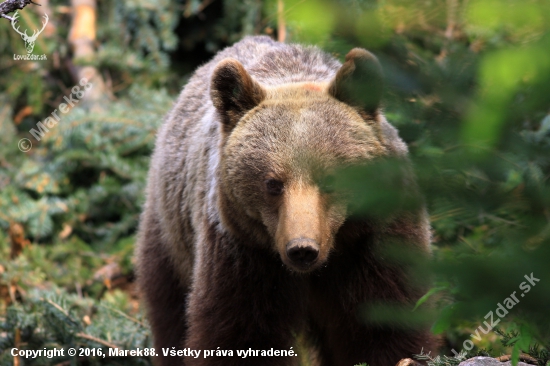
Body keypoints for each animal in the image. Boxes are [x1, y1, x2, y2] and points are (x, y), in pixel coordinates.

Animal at [136, 35, 438, 366]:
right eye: (273, 183)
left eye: (331, 179)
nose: (302, 249)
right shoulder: (244, 253)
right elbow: (238, 334)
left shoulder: (376, 240)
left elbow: (386, 325)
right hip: (172, 230)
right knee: (169, 306)